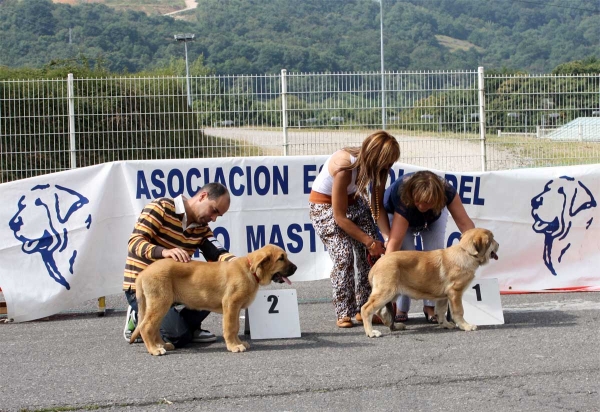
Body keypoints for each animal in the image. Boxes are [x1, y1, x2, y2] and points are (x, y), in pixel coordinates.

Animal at [130, 245, 296, 354]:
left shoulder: (235, 308)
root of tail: (143, 273)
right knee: (146, 326)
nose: (295, 268)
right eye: (281, 258)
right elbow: (230, 327)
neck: (250, 270)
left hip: (160, 305)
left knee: (153, 327)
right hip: (160, 302)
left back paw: (162, 345)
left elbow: (235, 327)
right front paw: (233, 346)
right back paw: (154, 349)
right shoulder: (231, 304)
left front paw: (238, 343)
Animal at [360, 229, 496, 338]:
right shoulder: (455, 292)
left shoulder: (444, 296)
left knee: (379, 311)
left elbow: (440, 311)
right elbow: (459, 311)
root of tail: (376, 265)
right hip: (386, 292)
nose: (498, 244)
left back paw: (394, 325)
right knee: (366, 309)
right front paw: (466, 326)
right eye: (492, 240)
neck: (466, 252)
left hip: (391, 294)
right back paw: (371, 332)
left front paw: (445, 324)